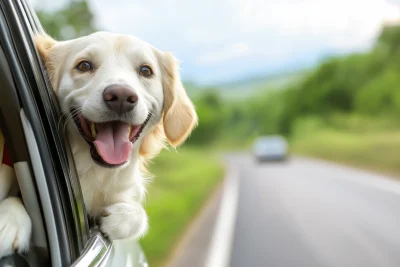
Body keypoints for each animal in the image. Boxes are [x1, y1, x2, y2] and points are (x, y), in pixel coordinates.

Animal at [0, 31, 198, 260]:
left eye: (145, 70)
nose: (121, 96)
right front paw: (10, 219)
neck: (93, 170)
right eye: (84, 65)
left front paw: (123, 217)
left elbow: (137, 214)